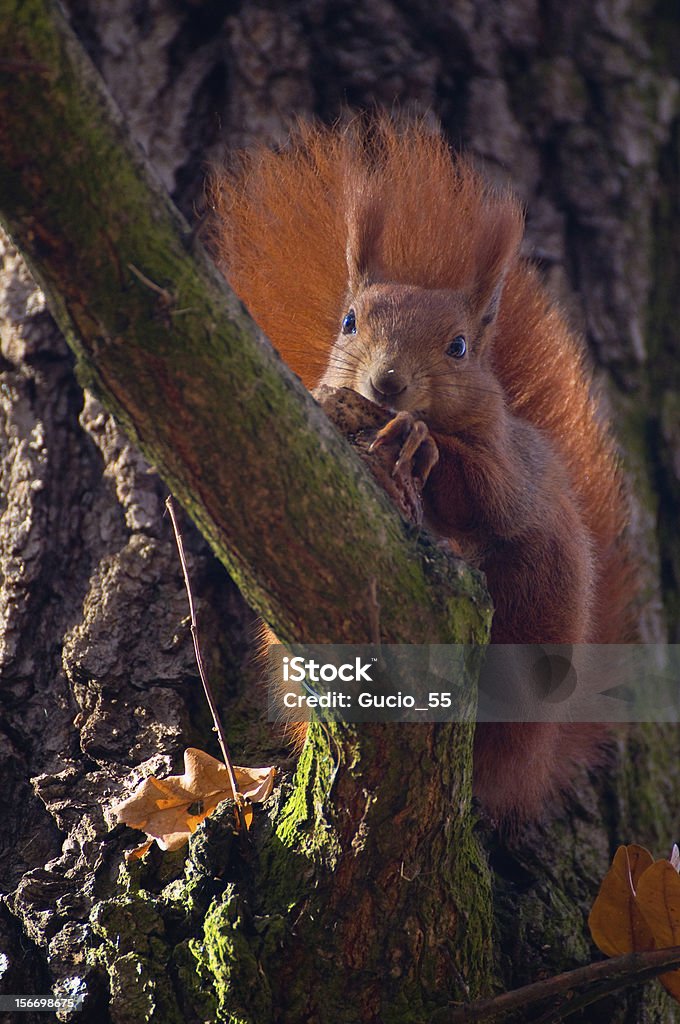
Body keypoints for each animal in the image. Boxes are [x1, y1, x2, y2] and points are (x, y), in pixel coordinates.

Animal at [209, 116, 634, 819]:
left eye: (458, 347)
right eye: (349, 322)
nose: (387, 383)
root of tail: (532, 761)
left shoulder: (508, 465)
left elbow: (488, 496)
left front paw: (423, 443)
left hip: (542, 594)